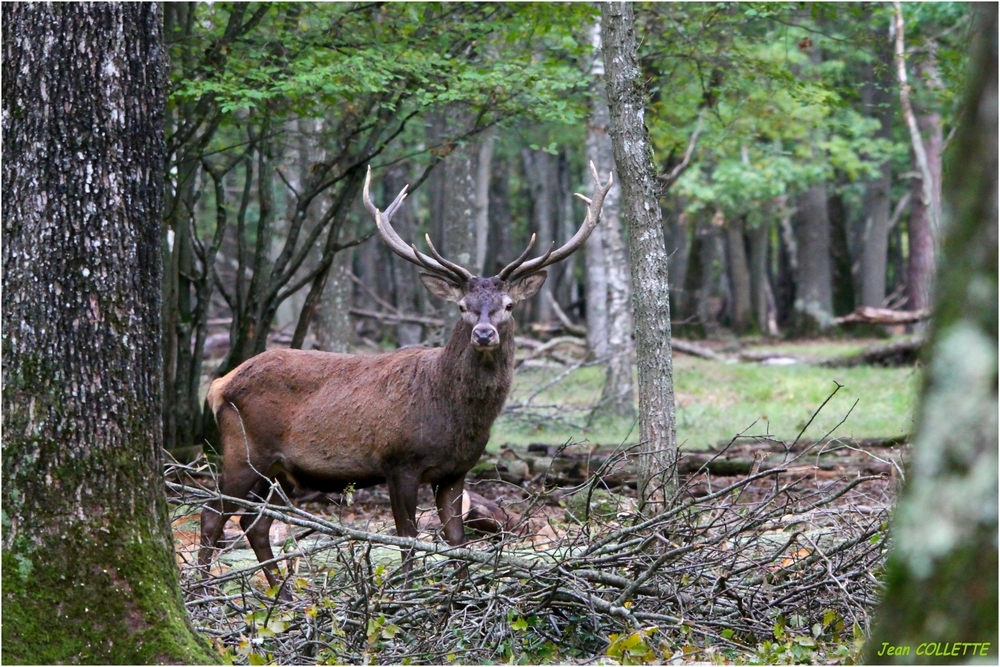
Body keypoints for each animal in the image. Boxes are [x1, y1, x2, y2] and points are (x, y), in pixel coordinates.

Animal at [199, 160, 612, 596]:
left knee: (254, 522)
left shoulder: (456, 472)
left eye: (509, 305)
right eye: (463, 306)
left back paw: (284, 595)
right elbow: (408, 540)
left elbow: (457, 541)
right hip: (243, 451)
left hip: (279, 471)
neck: (453, 415)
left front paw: (460, 595)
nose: (484, 334)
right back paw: (206, 590)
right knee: (213, 514)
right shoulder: (399, 463)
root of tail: (219, 385)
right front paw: (405, 596)